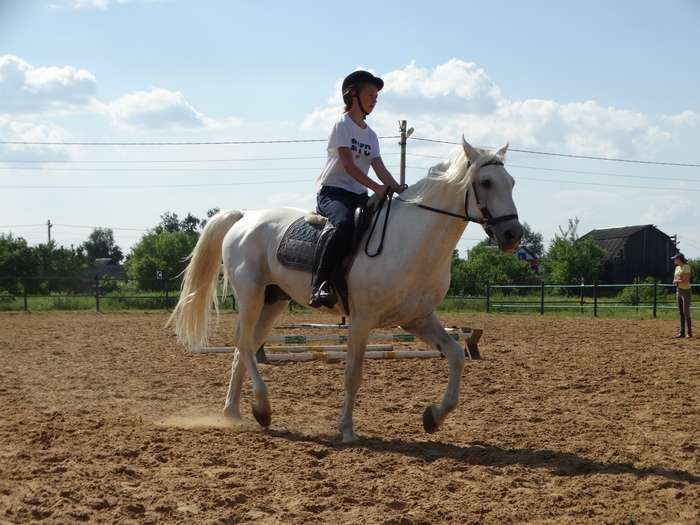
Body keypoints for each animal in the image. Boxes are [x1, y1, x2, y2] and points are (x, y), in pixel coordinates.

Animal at [168, 136, 520, 442]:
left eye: (512, 182)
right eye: (486, 183)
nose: (513, 234)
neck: (412, 241)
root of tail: (245, 217)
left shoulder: (417, 319)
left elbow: (456, 356)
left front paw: (433, 417)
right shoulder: (362, 321)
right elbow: (353, 374)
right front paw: (348, 430)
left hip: (273, 301)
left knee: (246, 348)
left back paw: (236, 411)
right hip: (250, 295)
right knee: (242, 343)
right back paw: (262, 408)